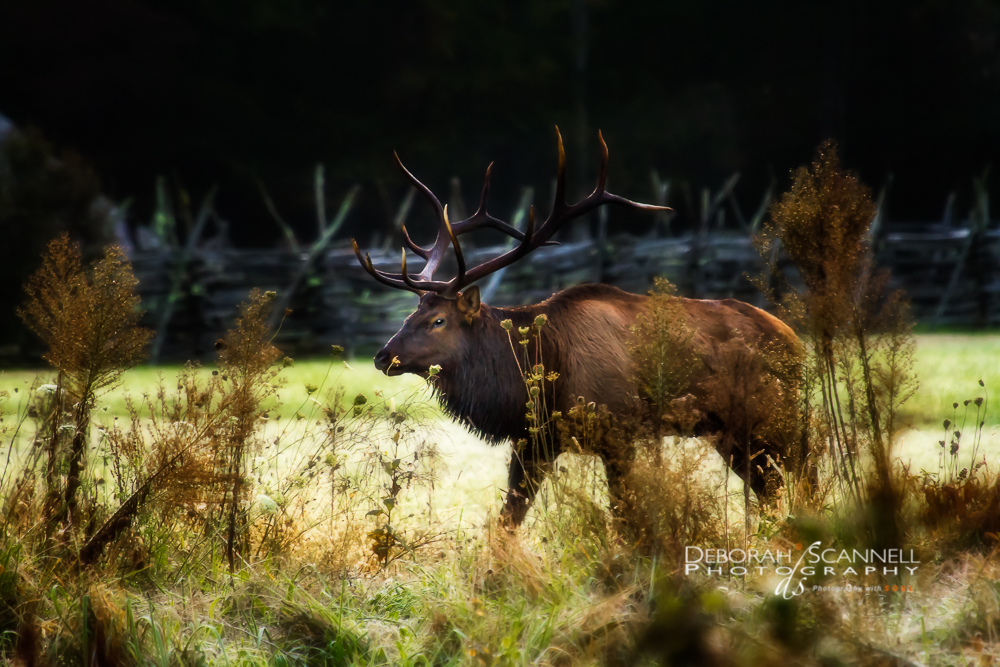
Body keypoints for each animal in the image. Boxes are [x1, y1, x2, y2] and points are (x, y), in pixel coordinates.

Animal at [351, 128, 801, 526]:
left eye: (438, 320)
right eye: (409, 316)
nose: (382, 356)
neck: (540, 372)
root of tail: (793, 340)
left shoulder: (619, 431)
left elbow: (624, 517)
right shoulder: (535, 441)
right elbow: (507, 520)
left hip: (770, 417)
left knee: (795, 478)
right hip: (729, 432)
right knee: (770, 488)